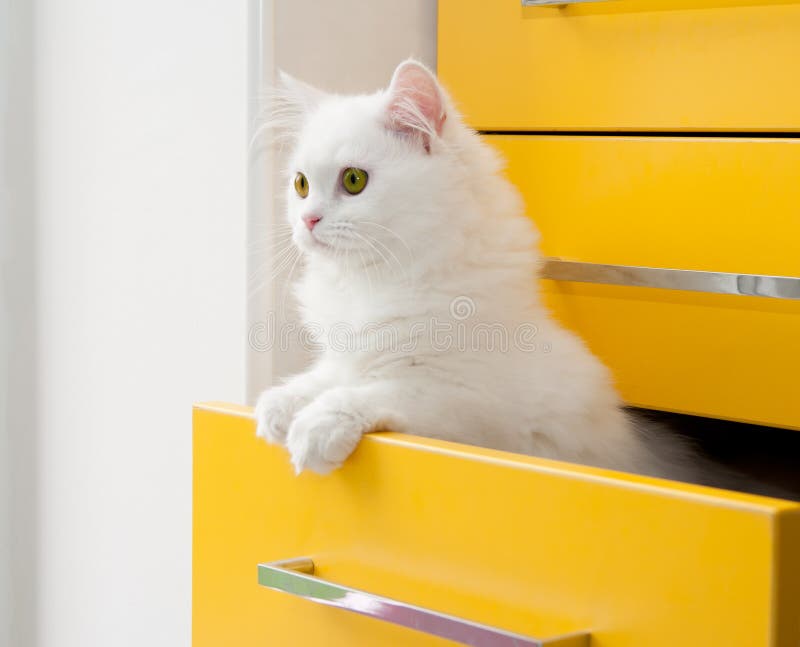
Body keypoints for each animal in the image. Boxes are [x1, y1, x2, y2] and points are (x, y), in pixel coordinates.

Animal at [255, 59, 692, 480]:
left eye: (353, 180)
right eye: (301, 185)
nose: (307, 220)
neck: (371, 281)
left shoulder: (467, 398)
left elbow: (374, 392)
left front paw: (315, 427)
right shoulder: (345, 356)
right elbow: (323, 377)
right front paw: (277, 406)